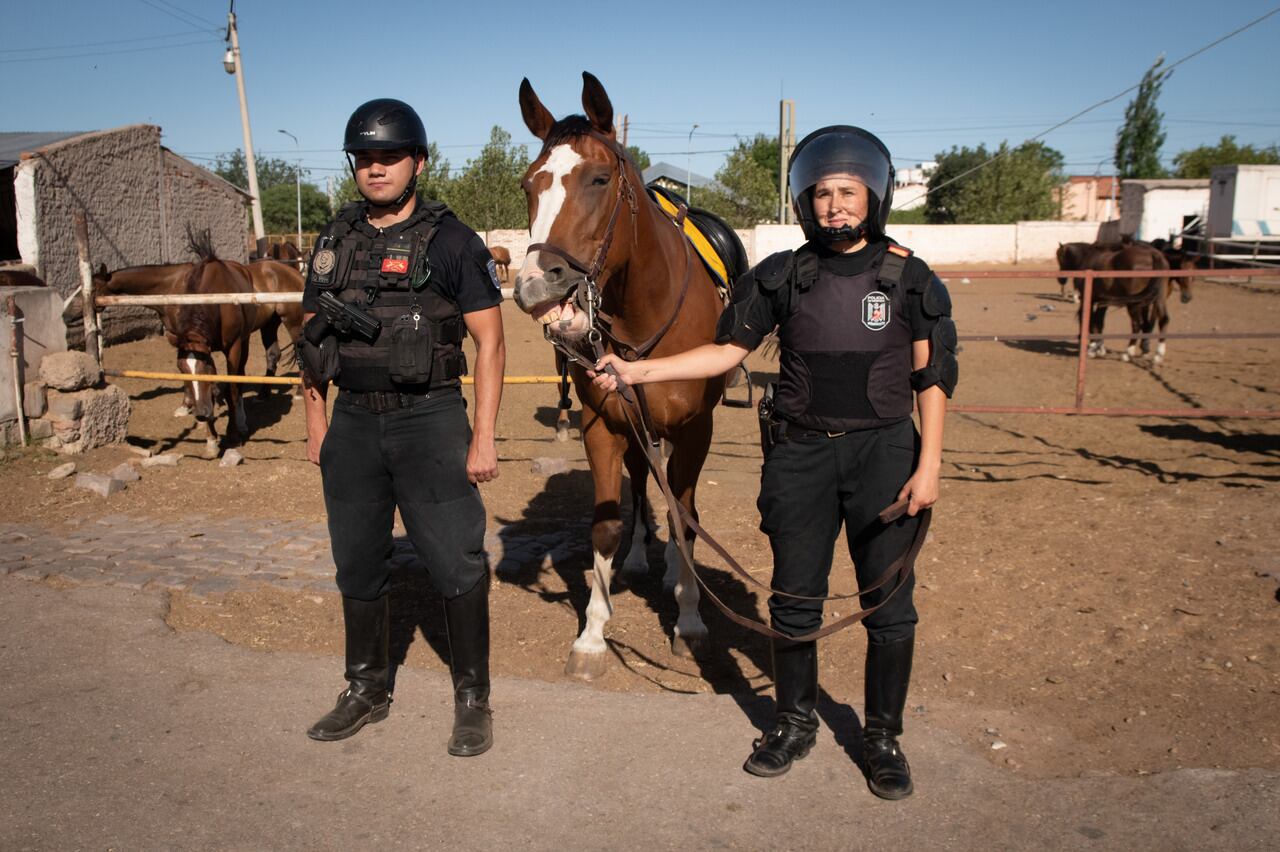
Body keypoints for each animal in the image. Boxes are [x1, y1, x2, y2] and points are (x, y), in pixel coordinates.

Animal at [512, 72, 732, 675]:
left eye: (599, 178)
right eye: (528, 185)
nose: (536, 285)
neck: (644, 315)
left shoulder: (695, 430)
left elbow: (685, 516)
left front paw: (690, 620)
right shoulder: (603, 424)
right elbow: (608, 522)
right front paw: (592, 633)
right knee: (641, 481)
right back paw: (636, 560)